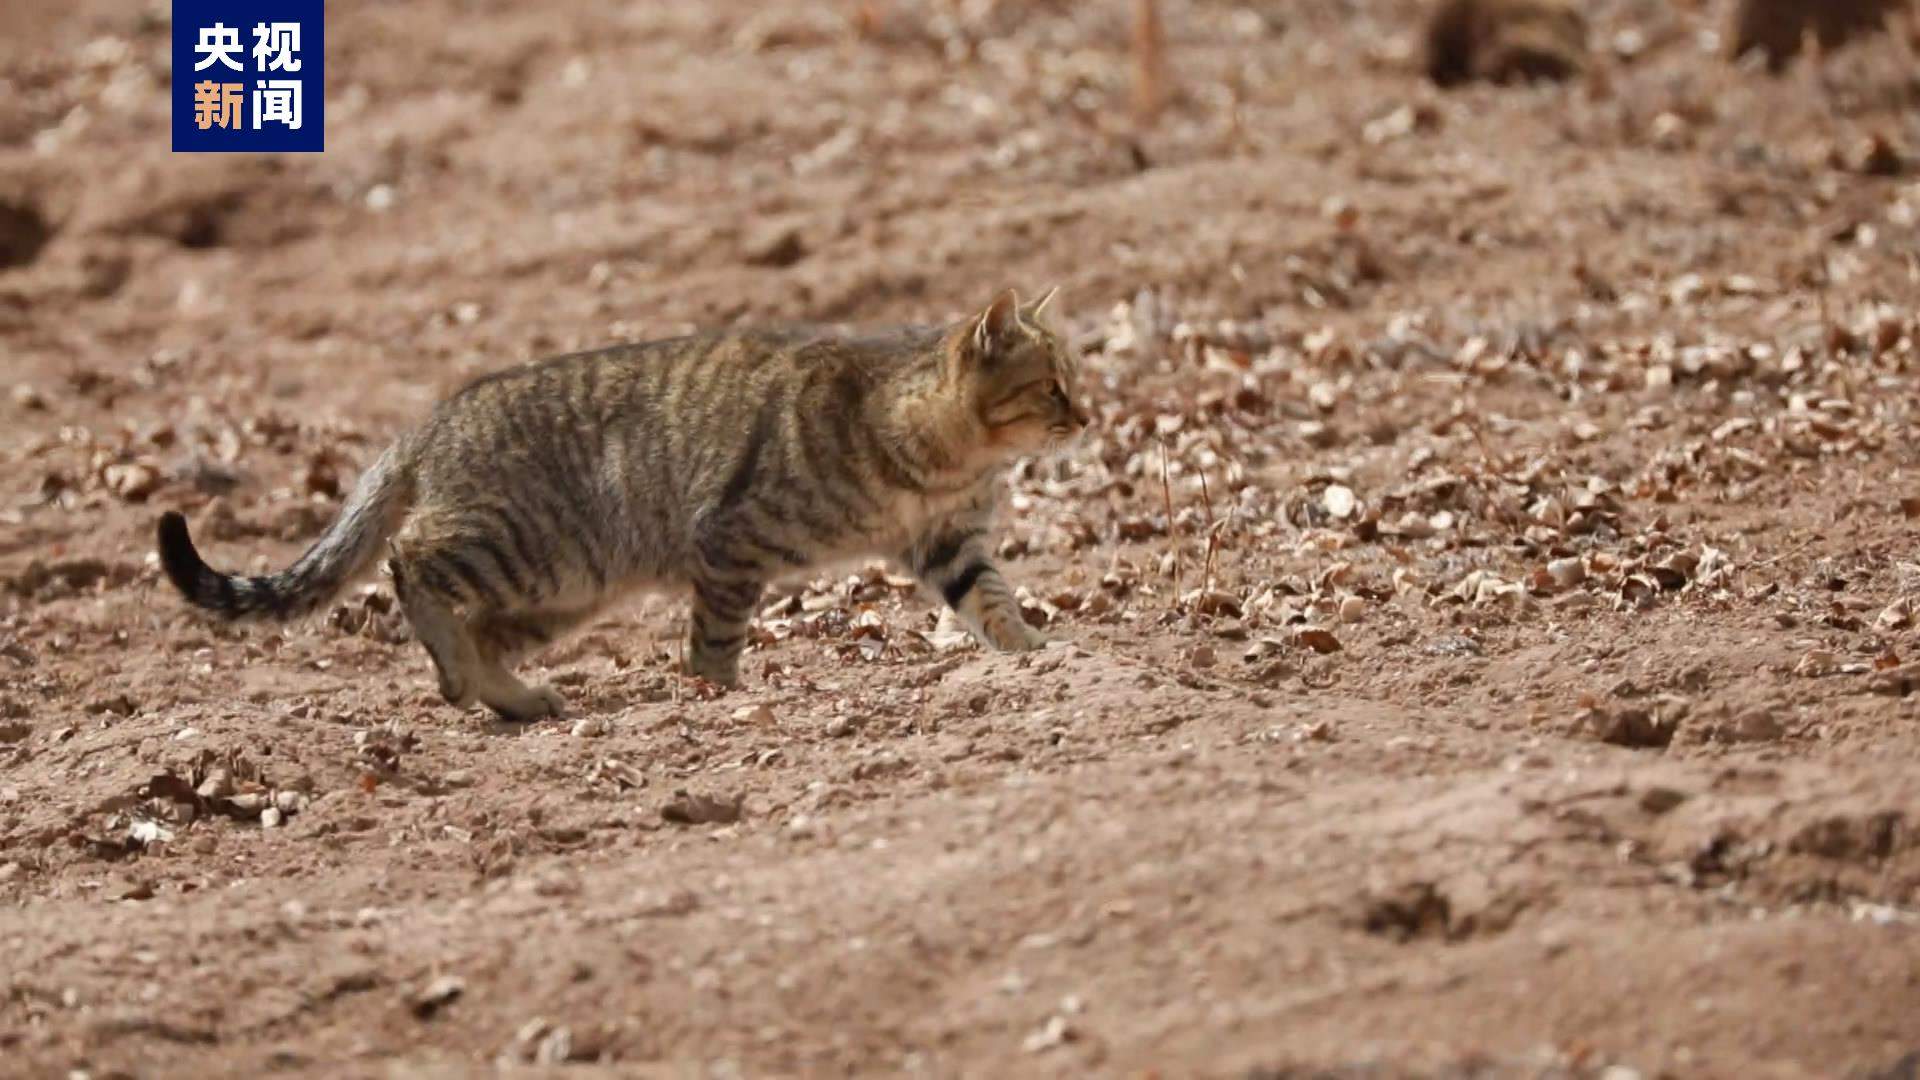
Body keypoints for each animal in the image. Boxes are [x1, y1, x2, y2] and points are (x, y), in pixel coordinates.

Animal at [157, 290, 1090, 718]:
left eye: (1075, 381)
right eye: (1050, 386)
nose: (1088, 417)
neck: (944, 457)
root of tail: (427, 423)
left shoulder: (950, 544)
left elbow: (995, 603)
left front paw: (1035, 650)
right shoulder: (730, 542)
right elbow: (715, 639)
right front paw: (716, 693)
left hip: (562, 592)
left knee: (476, 634)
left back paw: (507, 695)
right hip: (531, 549)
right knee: (410, 561)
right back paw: (472, 678)